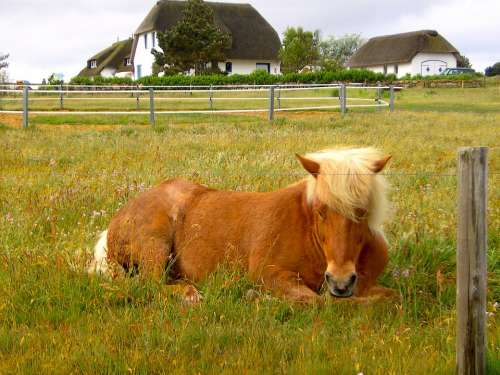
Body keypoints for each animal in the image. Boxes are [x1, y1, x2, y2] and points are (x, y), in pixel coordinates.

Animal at [89, 148, 394, 304]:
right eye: (321, 211)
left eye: (363, 211)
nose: (341, 281)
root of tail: (115, 221)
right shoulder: (268, 273)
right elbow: (317, 301)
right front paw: (257, 297)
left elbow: (387, 297)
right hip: (155, 245)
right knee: (149, 285)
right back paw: (191, 295)